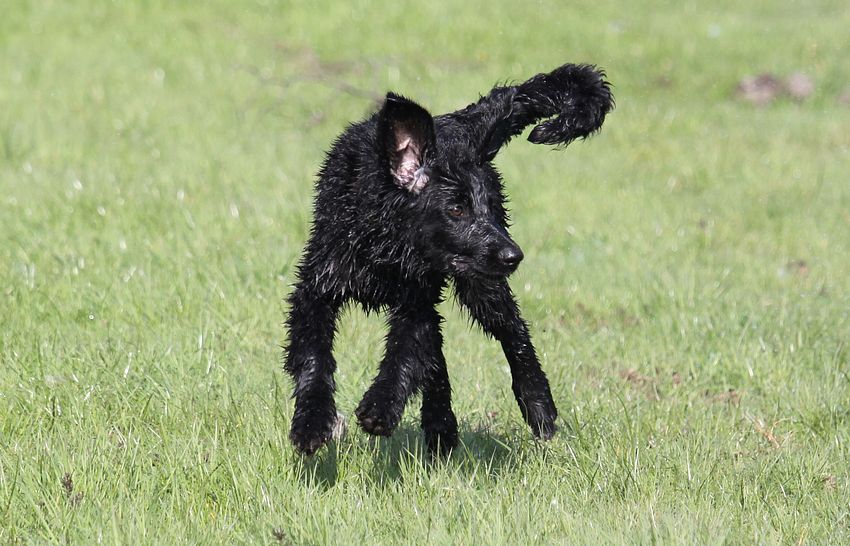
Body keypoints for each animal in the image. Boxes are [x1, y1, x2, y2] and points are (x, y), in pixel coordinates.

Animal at [284, 63, 613, 455]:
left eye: (489, 209)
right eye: (456, 209)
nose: (514, 256)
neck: (384, 248)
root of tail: (459, 126)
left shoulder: (416, 300)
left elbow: (404, 355)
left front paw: (380, 408)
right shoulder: (318, 286)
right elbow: (314, 357)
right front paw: (311, 424)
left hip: (481, 280)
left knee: (512, 332)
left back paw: (538, 408)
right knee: (437, 355)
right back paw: (441, 427)